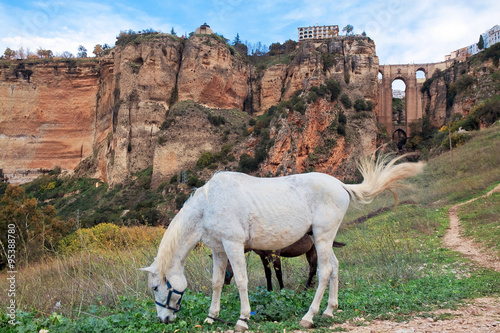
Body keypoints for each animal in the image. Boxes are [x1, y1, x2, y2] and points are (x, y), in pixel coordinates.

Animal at [142, 153, 426, 330]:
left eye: (156, 287)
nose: (163, 319)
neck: (208, 204)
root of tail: (342, 185)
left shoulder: (234, 245)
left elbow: (242, 281)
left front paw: (242, 320)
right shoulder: (220, 250)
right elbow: (217, 283)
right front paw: (212, 317)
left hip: (322, 238)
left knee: (324, 271)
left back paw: (309, 316)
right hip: (324, 240)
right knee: (335, 267)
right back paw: (329, 310)